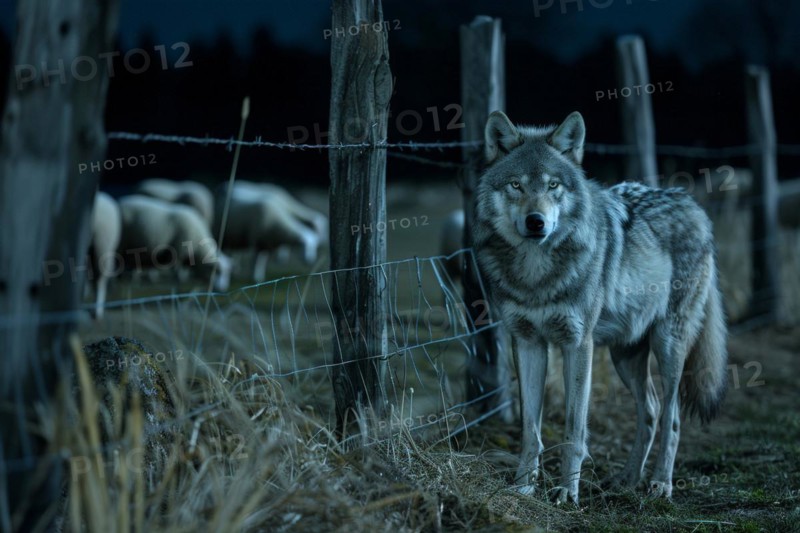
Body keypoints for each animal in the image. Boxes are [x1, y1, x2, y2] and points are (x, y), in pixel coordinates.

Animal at [472, 111, 728, 504]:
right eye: (516, 185)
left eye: (553, 186)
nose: (536, 222)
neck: (536, 275)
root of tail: (692, 203)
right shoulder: (528, 343)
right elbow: (531, 429)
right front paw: (523, 486)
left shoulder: (578, 344)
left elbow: (574, 430)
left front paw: (567, 491)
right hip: (625, 355)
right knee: (650, 410)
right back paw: (627, 480)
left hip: (668, 345)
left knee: (671, 418)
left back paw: (661, 484)